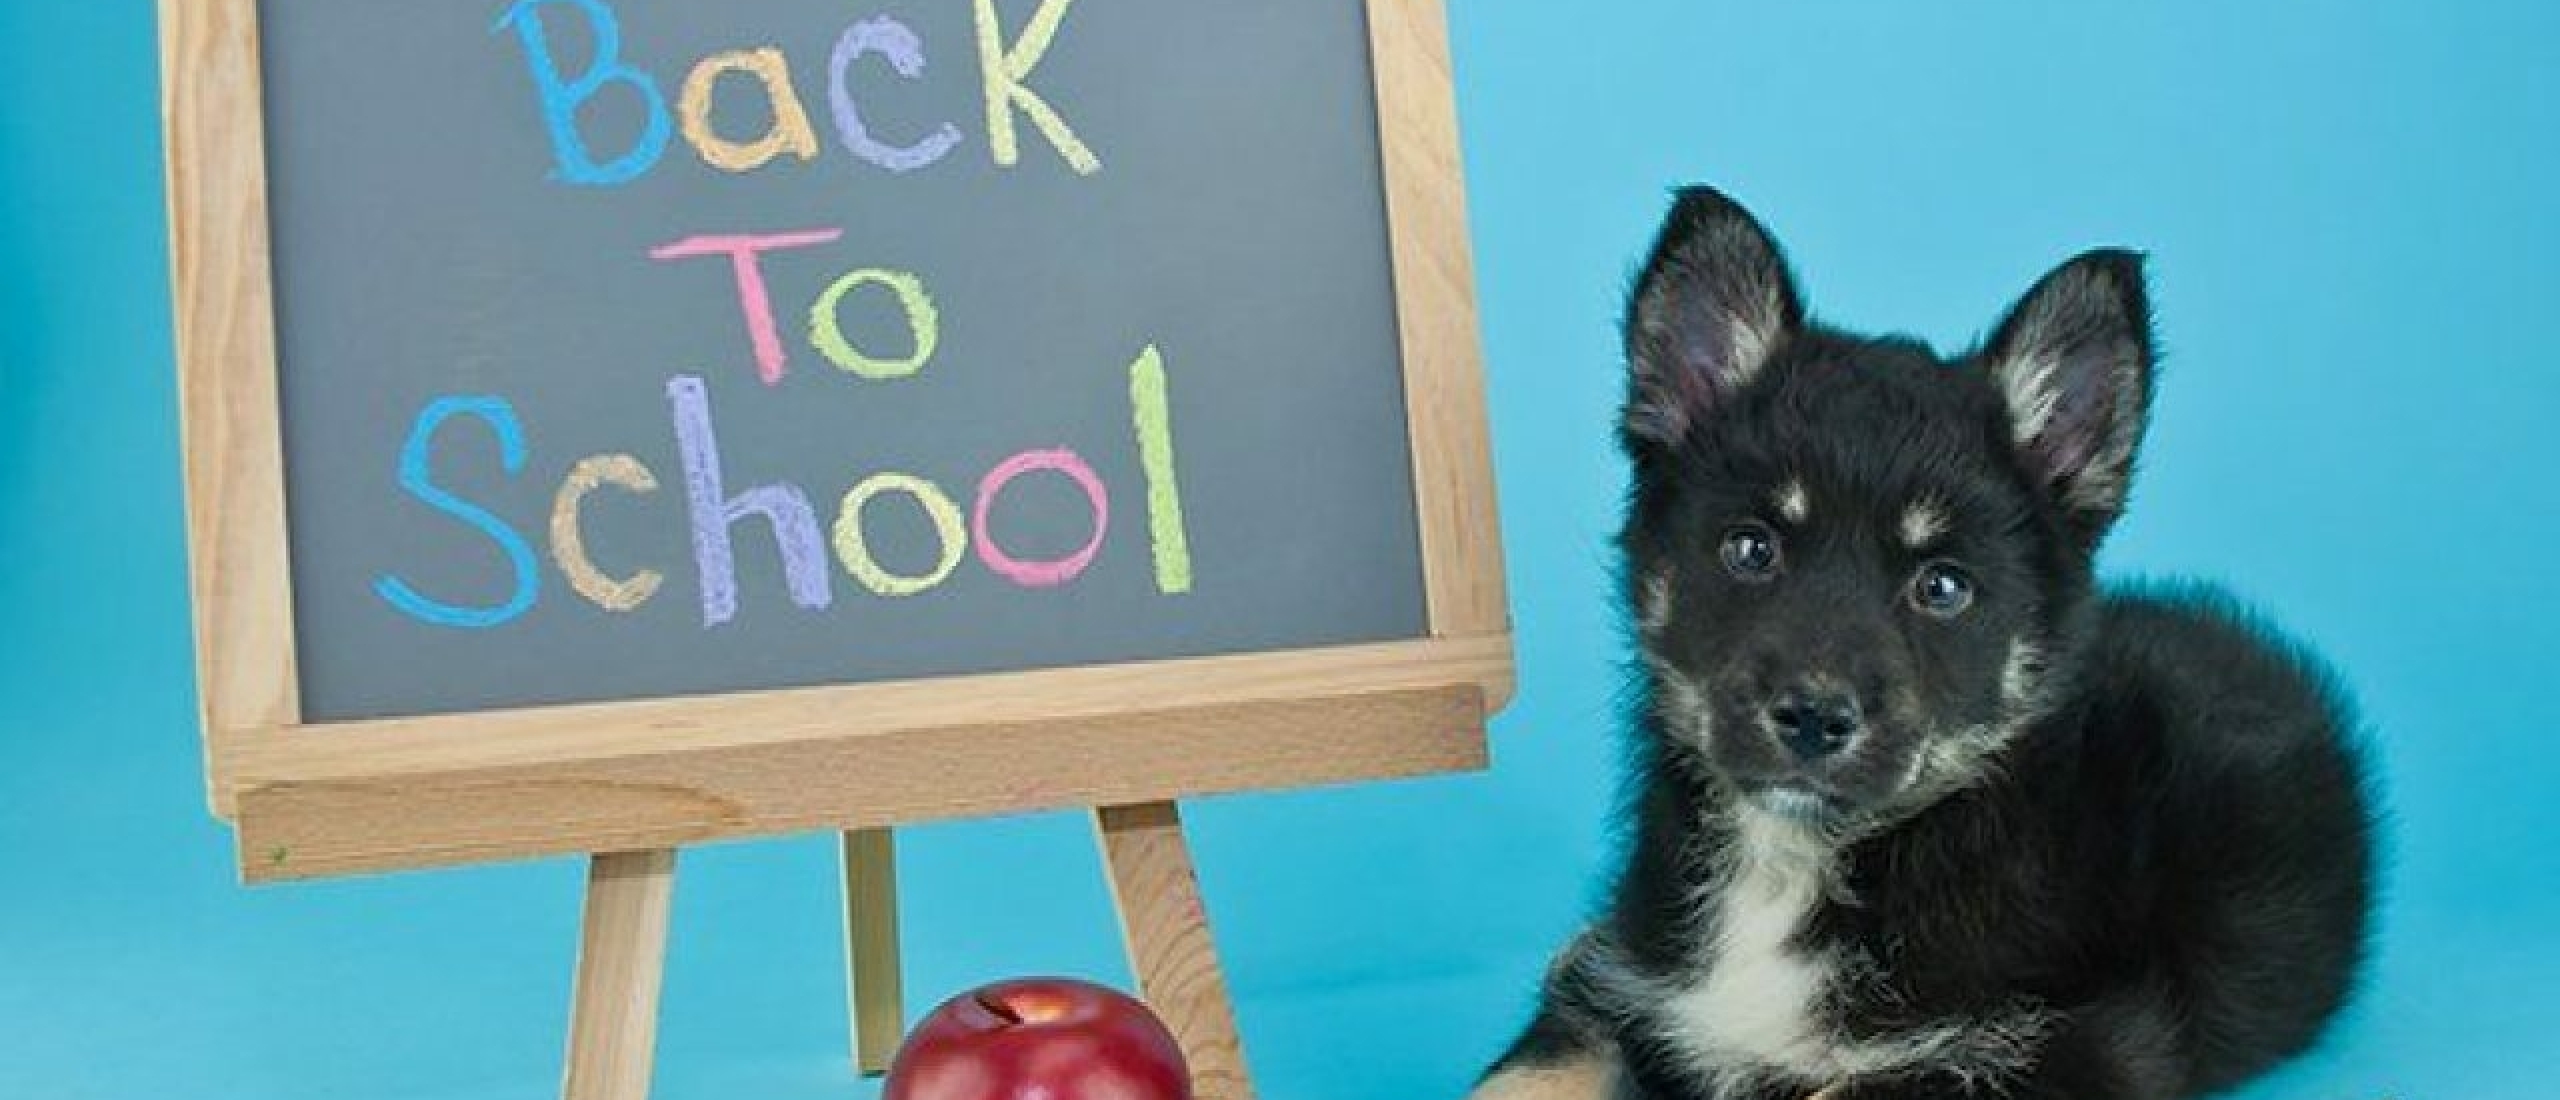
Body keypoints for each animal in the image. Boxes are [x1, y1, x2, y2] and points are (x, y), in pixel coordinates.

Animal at [1484, 189, 2375, 1100]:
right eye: (1750, 549)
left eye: (1942, 587)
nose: (1812, 718)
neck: (1794, 863)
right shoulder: (1615, 976)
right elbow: (1524, 1072)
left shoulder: (2069, 1045)